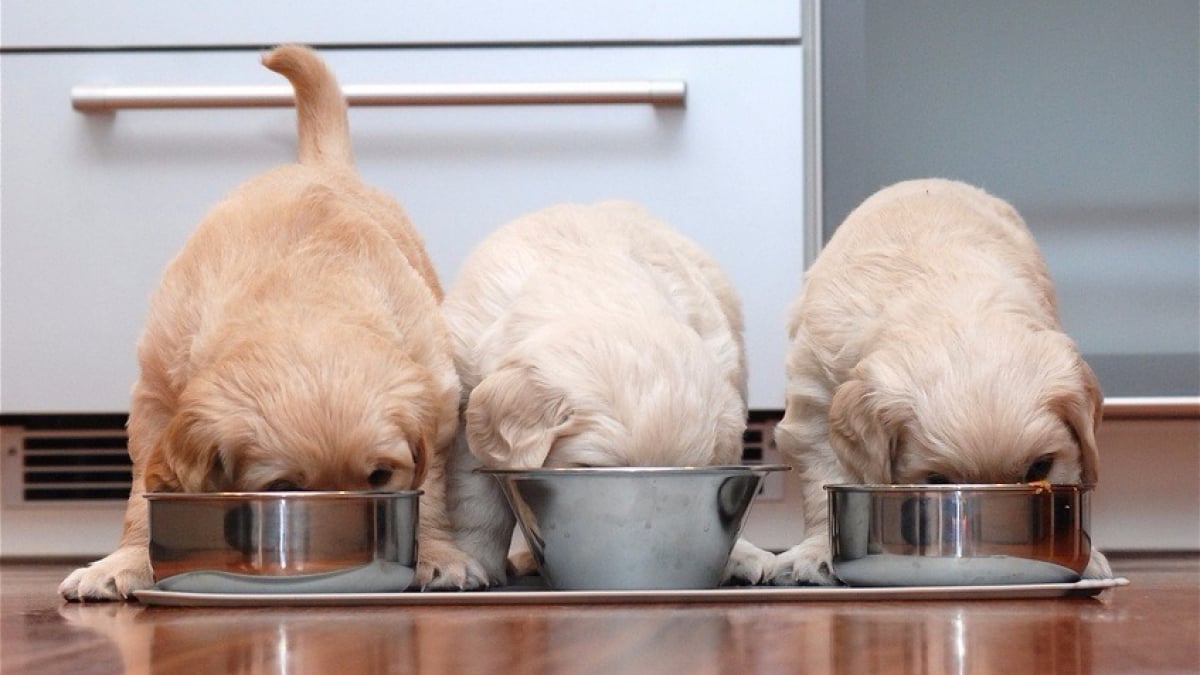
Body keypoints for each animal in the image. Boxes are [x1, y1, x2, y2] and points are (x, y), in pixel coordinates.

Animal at [58, 44, 482, 595]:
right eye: (284, 487)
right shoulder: (155, 396)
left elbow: (428, 490)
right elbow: (139, 497)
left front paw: (436, 554)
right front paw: (124, 562)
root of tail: (317, 163)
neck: (305, 294)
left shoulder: (440, 400)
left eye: (379, 478)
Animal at [772, 178, 1108, 583]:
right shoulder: (815, 399)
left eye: (1040, 468)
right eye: (936, 480)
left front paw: (1089, 559)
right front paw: (818, 553)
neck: (944, 295)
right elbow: (824, 480)